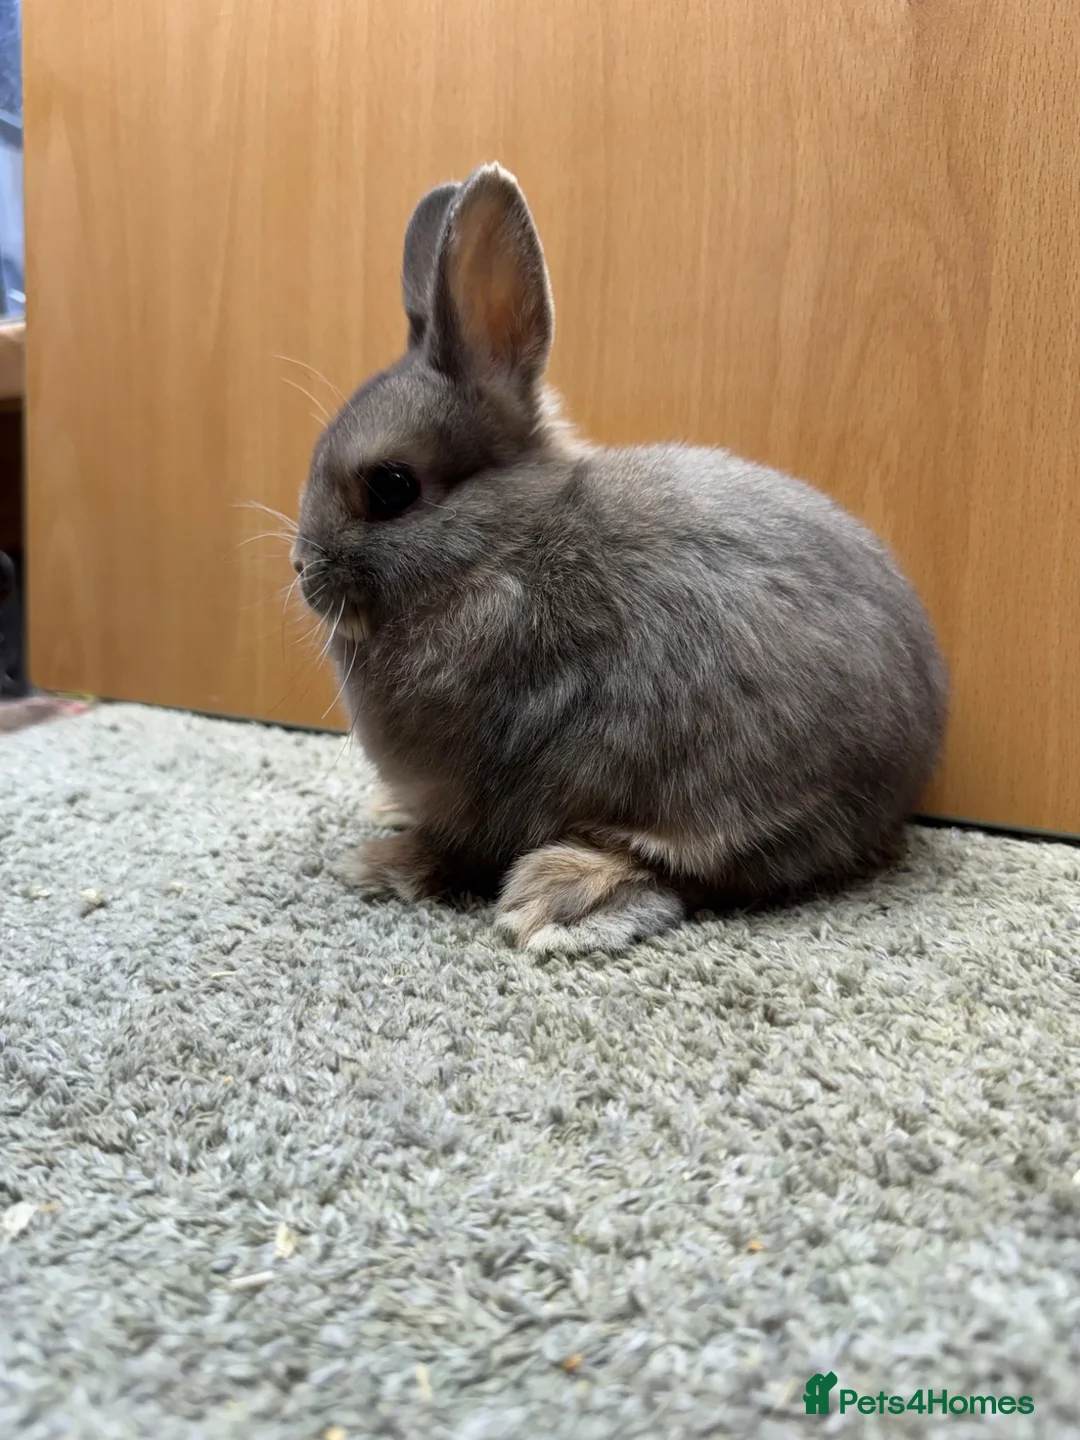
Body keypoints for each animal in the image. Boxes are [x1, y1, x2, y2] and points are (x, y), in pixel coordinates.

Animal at [291, 163, 948, 955]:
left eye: (391, 488)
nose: (302, 571)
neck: (498, 549)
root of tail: (910, 768)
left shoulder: (493, 787)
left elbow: (462, 847)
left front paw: (382, 865)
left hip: (718, 793)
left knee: (686, 872)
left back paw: (554, 898)